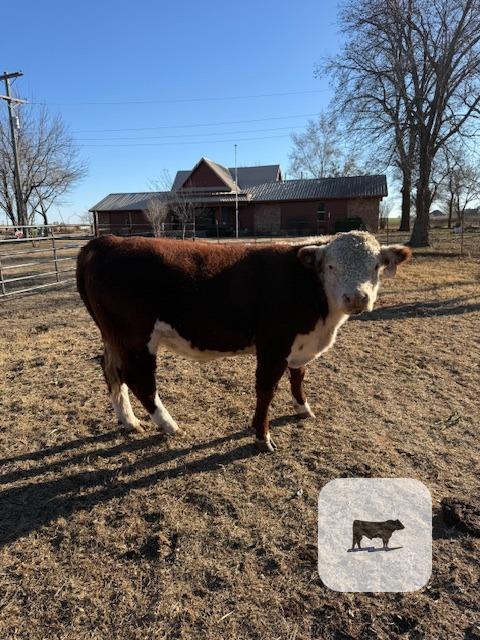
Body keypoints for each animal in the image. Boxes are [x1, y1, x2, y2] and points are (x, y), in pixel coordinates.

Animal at [76, 231, 411, 452]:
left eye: (376, 266)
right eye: (331, 266)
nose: (357, 298)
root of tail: (106, 241)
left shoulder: (299, 346)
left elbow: (298, 376)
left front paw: (303, 408)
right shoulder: (273, 345)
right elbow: (266, 390)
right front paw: (262, 436)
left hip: (113, 337)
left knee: (111, 370)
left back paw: (128, 420)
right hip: (135, 337)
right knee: (139, 379)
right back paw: (169, 425)